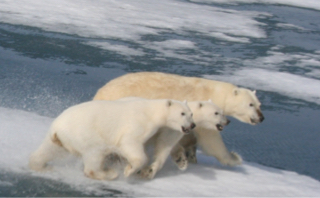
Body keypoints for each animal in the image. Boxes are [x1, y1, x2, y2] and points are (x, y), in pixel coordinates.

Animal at [29, 99, 195, 179]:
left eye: (191, 113)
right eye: (182, 113)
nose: (192, 125)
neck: (152, 112)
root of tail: (57, 127)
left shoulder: (160, 129)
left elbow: (163, 145)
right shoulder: (138, 123)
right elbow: (130, 143)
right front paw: (129, 170)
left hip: (61, 139)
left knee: (48, 150)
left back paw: (40, 166)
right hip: (87, 135)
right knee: (95, 155)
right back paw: (109, 173)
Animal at [94, 72, 264, 166]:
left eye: (259, 104)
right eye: (250, 104)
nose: (261, 117)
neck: (214, 92)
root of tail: (99, 93)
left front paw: (190, 155)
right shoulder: (201, 115)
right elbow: (211, 140)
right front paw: (234, 157)